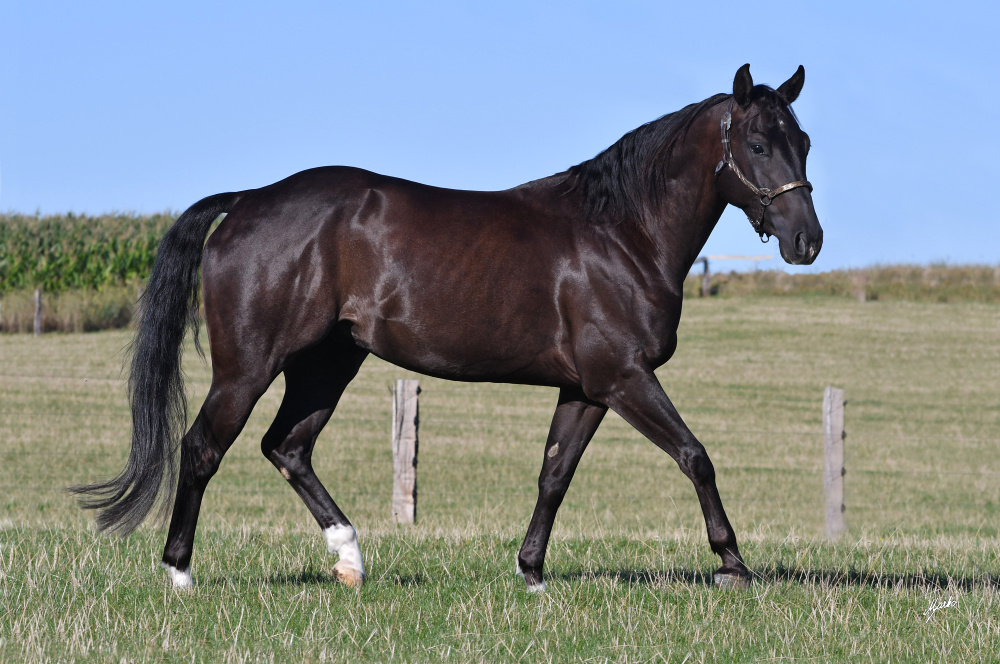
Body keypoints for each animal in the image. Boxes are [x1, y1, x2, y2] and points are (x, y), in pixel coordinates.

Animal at [70, 63, 820, 592]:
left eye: (805, 142)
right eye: (759, 143)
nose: (806, 242)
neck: (620, 233)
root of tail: (249, 200)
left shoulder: (587, 389)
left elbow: (554, 475)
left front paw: (531, 572)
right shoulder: (625, 378)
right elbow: (696, 455)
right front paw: (733, 564)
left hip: (328, 362)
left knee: (287, 447)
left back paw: (350, 561)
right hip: (249, 366)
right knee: (203, 448)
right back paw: (179, 573)